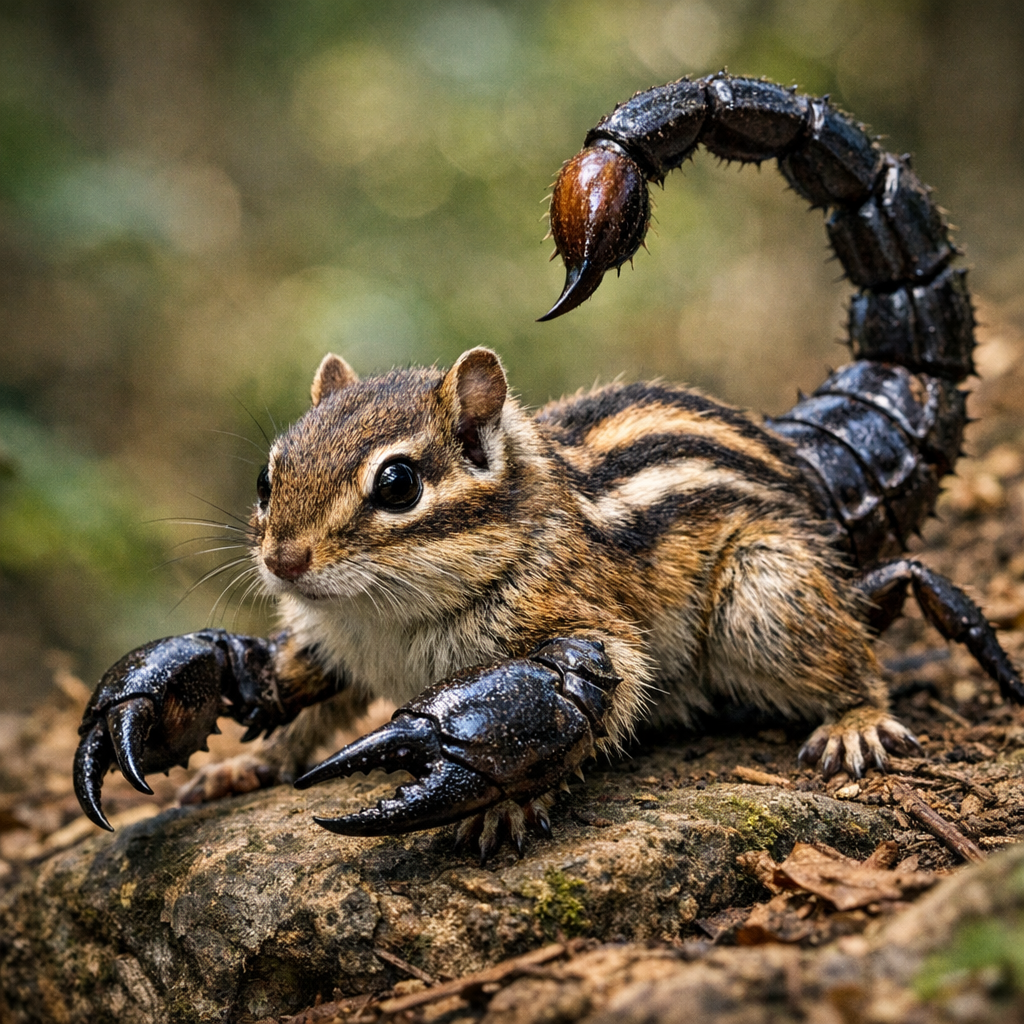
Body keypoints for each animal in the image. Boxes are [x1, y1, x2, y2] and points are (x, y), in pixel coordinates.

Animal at [75, 74, 1023, 858]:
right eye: (267, 479)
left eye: (397, 485)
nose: (282, 561)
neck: (393, 626)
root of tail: (814, 457)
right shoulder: (328, 651)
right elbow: (266, 686)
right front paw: (244, 767)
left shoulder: (588, 645)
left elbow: (576, 700)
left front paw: (504, 805)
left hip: (768, 589)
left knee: (886, 620)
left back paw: (859, 718)